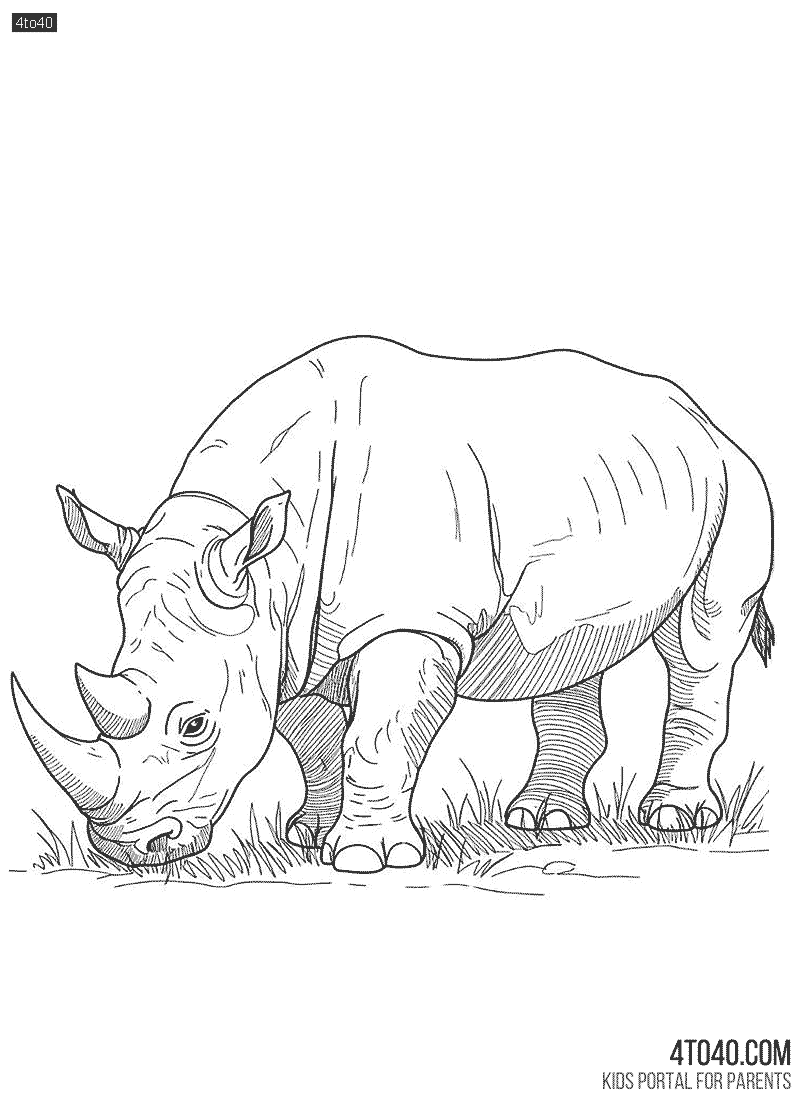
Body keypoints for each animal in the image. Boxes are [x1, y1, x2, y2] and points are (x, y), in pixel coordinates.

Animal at [12, 337, 774, 872]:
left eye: (194, 724)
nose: (123, 850)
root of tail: (700, 416)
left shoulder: (410, 625)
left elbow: (376, 736)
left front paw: (365, 859)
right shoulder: (291, 635)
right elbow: (314, 739)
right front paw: (309, 835)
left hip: (736, 479)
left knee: (701, 643)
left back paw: (674, 820)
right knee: (567, 650)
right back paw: (542, 821)